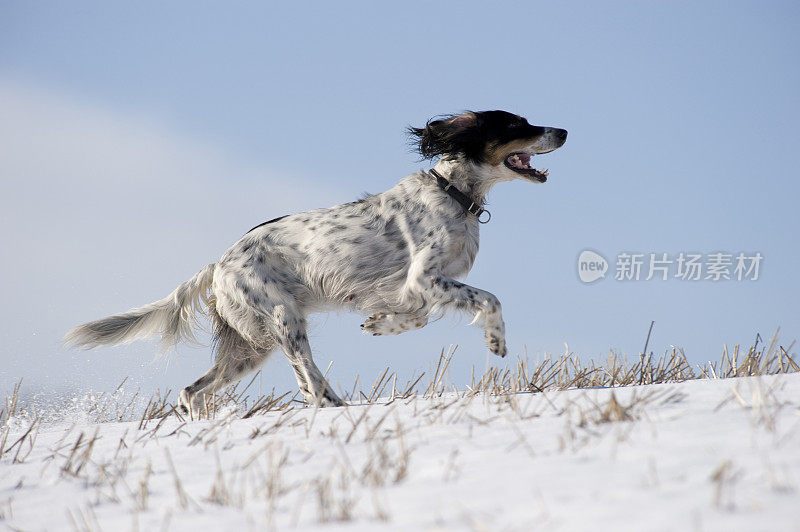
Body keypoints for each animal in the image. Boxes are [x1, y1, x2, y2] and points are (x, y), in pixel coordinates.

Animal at [69, 109, 568, 416]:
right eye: (517, 124)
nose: (564, 131)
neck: (453, 193)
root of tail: (218, 264)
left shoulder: (416, 287)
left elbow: (418, 318)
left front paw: (380, 325)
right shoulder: (425, 277)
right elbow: (489, 299)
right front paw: (496, 340)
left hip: (251, 346)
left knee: (193, 391)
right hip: (283, 320)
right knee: (308, 381)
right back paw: (333, 406)